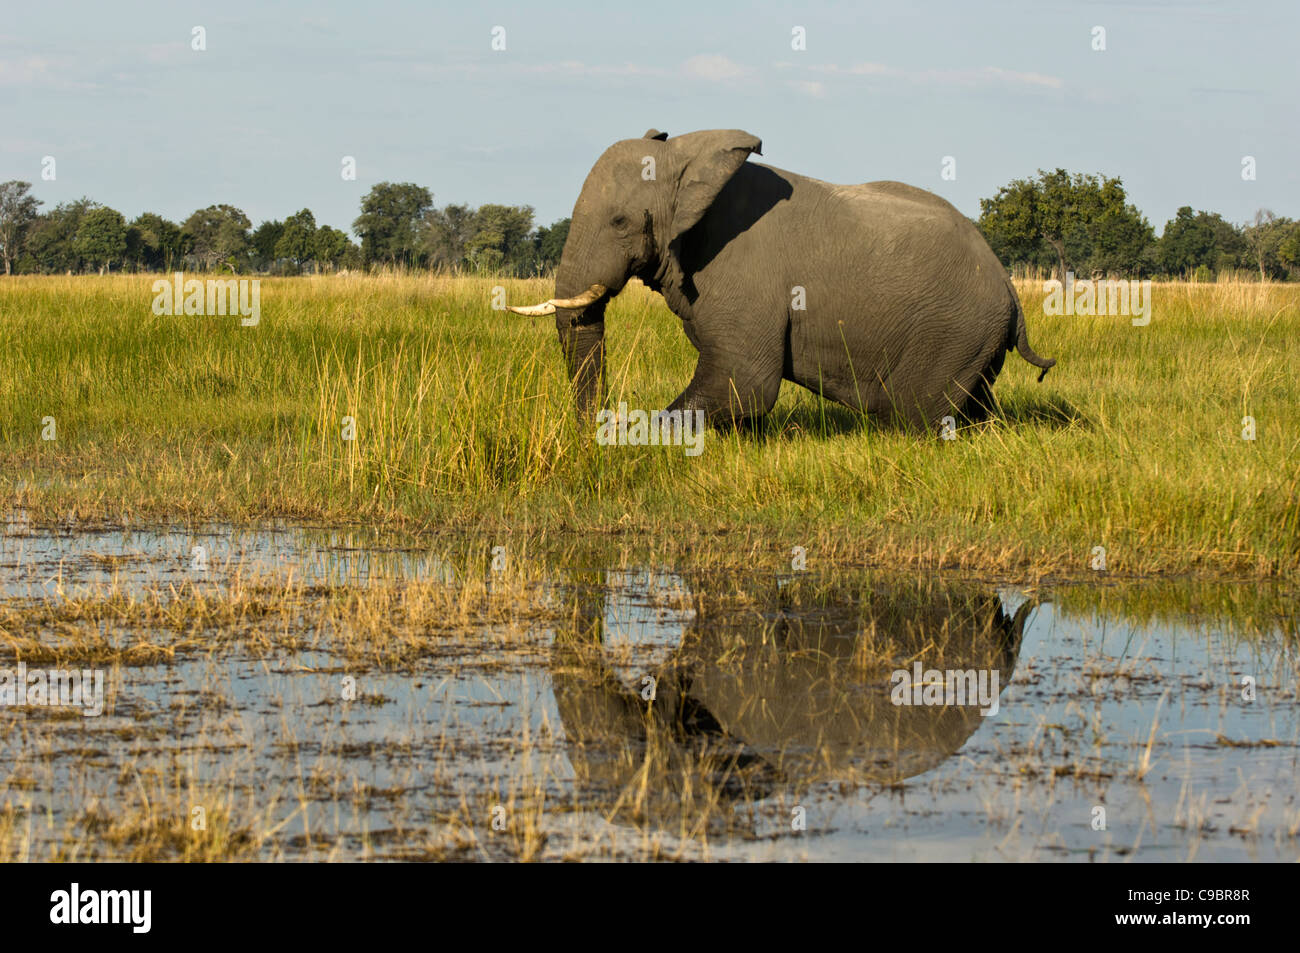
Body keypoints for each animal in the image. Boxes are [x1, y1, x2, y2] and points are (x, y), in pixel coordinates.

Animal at [509, 128, 1055, 429]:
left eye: (620, 222)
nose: (607, 417)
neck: (687, 158)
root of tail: (1009, 288)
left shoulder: (742, 277)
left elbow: (743, 380)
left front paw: (631, 430)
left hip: (950, 332)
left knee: (917, 416)